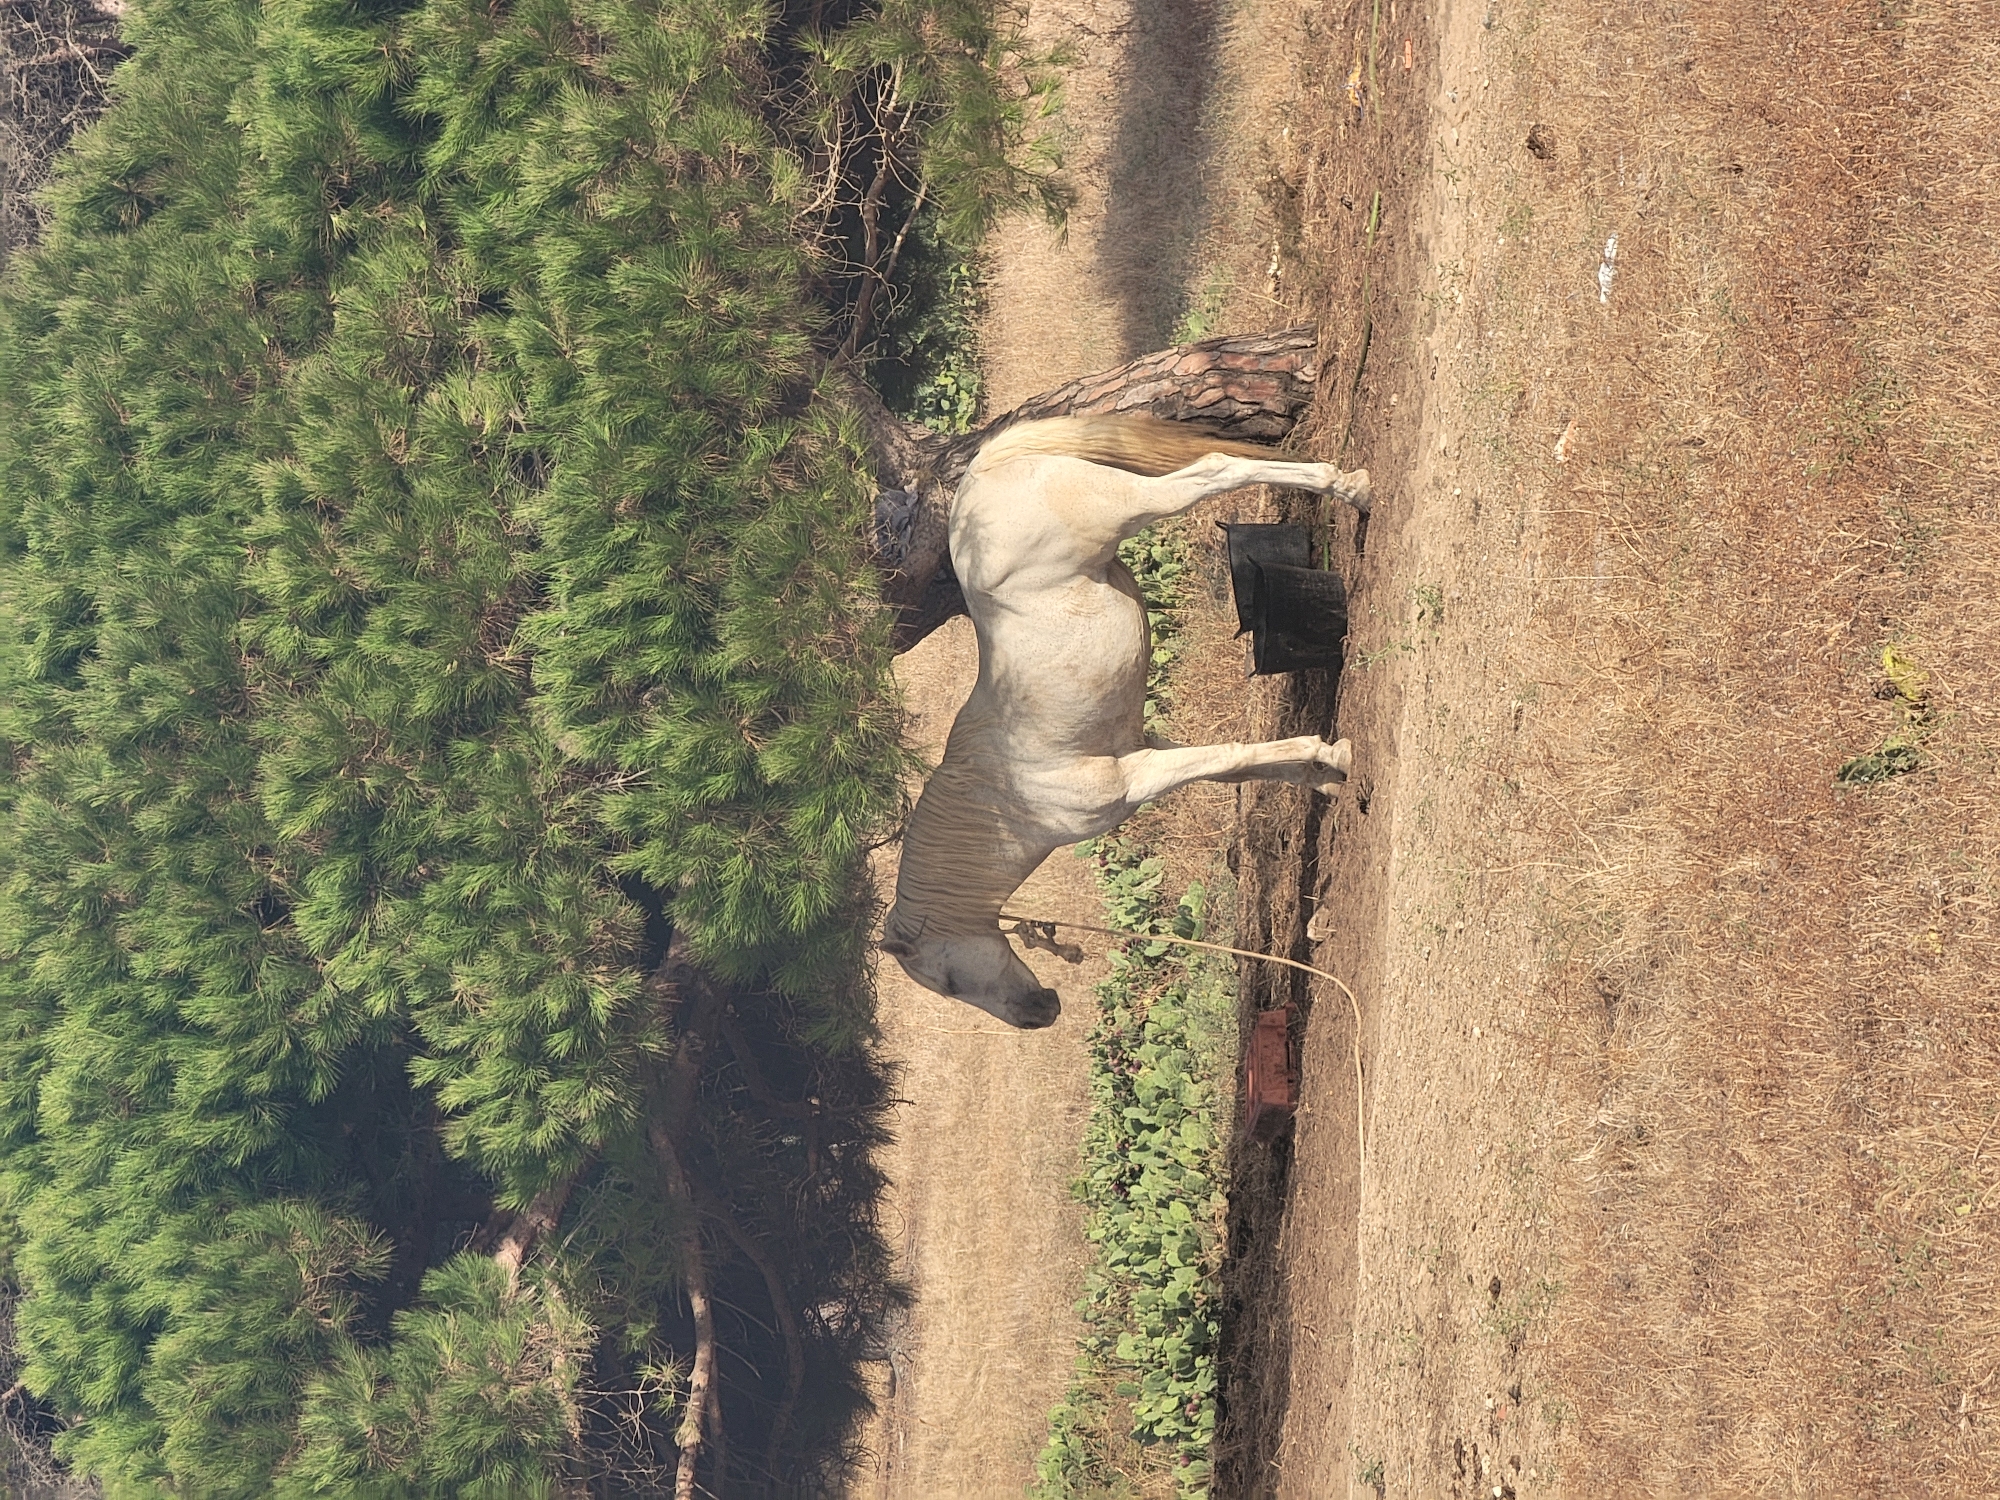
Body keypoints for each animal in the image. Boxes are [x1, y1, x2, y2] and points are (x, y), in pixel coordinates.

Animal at [880, 414, 1372, 1029]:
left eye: (946, 983)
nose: (1040, 1014)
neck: (1008, 794)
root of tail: (981, 470)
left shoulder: (1134, 778)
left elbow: (1229, 756)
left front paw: (1336, 754)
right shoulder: (1145, 745)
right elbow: (1236, 770)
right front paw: (1323, 778)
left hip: (1135, 505)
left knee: (1213, 470)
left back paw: (1353, 489)